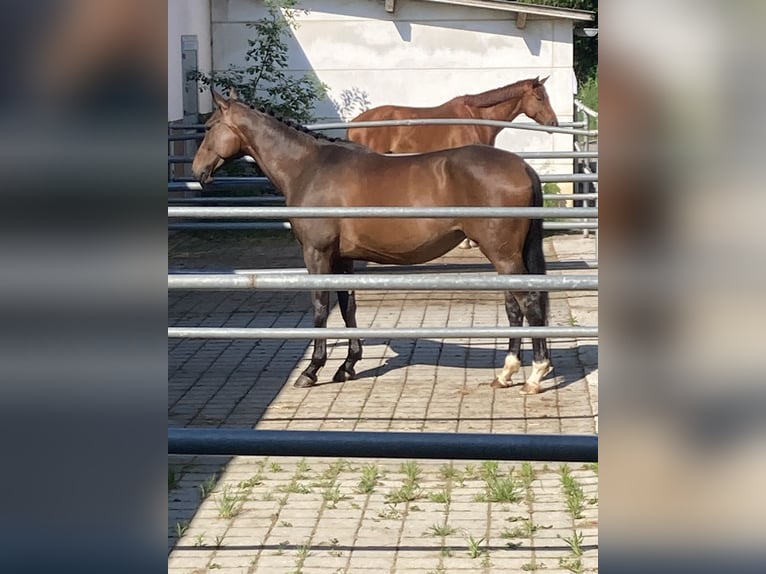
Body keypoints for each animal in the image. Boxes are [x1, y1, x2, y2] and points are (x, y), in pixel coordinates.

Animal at [192, 90, 552, 396]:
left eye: (209, 127)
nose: (197, 171)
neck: (309, 167)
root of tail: (523, 167)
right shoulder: (343, 258)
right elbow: (347, 306)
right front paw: (348, 365)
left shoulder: (317, 254)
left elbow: (321, 307)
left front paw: (311, 370)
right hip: (507, 257)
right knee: (514, 307)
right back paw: (505, 373)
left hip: (503, 255)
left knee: (529, 303)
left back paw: (534, 375)